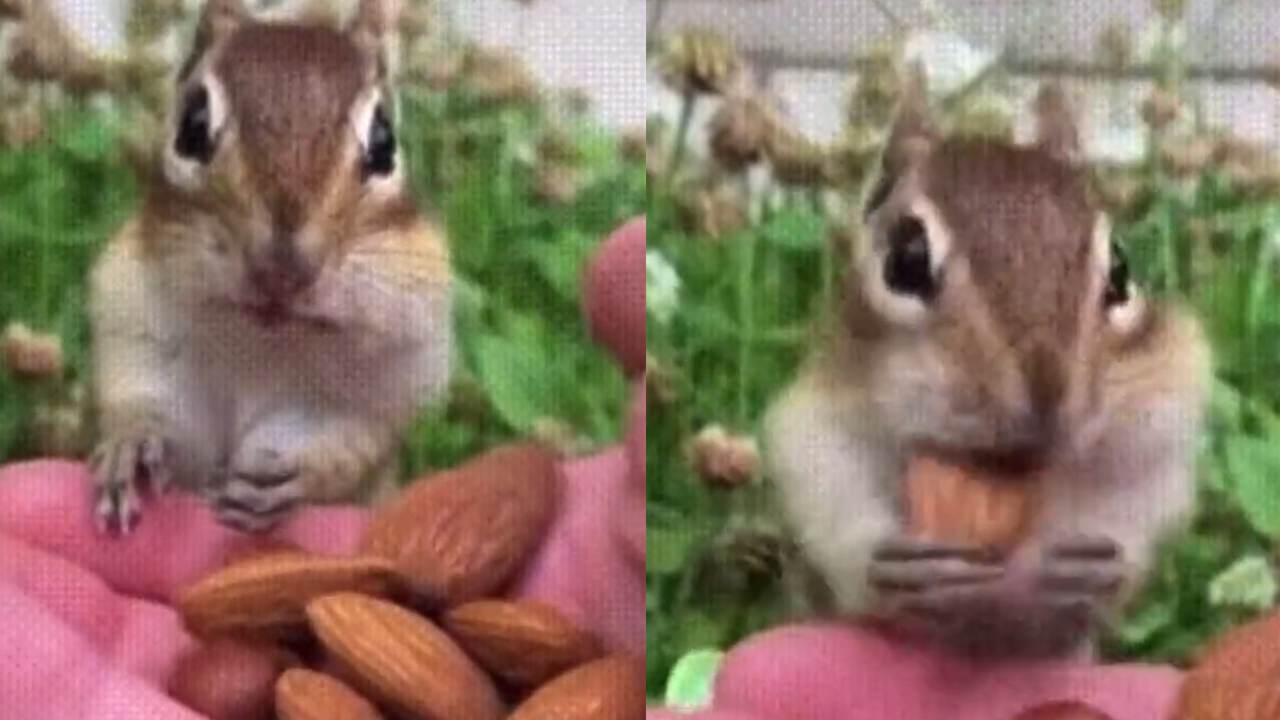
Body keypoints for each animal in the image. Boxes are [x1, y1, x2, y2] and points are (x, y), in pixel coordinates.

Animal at [87, 0, 452, 535]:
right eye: (192, 125)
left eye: (384, 141)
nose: (282, 272)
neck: (260, 342)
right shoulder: (137, 332)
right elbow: (147, 407)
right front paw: (129, 446)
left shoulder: (379, 386)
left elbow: (348, 445)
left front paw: (295, 473)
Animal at [763, 74, 1211, 658]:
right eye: (905, 260)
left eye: (1120, 268)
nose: (1046, 394)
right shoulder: (814, 429)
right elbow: (839, 509)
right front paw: (902, 566)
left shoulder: (1161, 421)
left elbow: (1133, 508)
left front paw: (1076, 571)